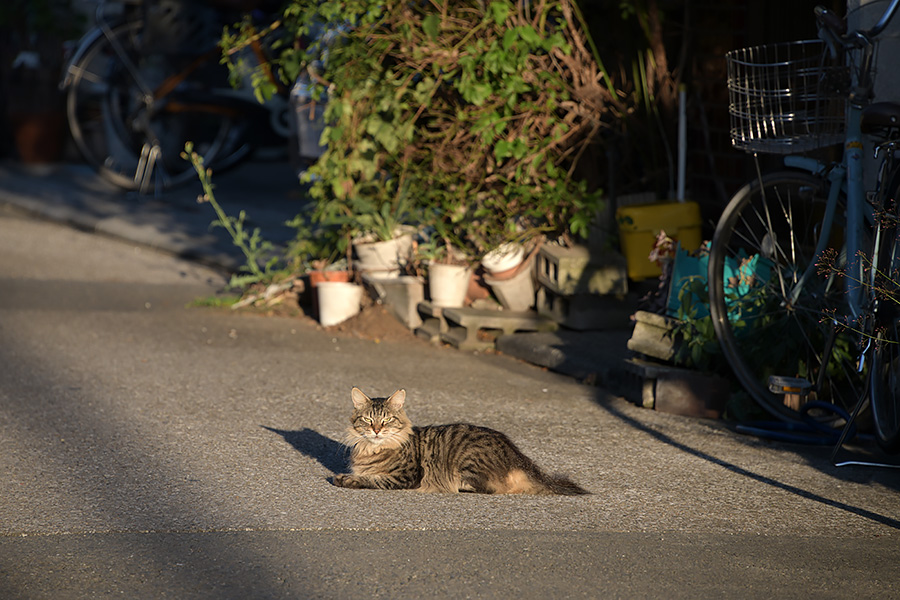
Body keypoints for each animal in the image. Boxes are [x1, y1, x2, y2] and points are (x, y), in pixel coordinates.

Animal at [332, 386, 592, 494]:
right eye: (368, 420)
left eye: (386, 420)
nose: (376, 430)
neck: (372, 448)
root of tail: (517, 454)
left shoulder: (406, 477)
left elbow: (372, 479)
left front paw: (346, 479)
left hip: (468, 460)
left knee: (491, 488)